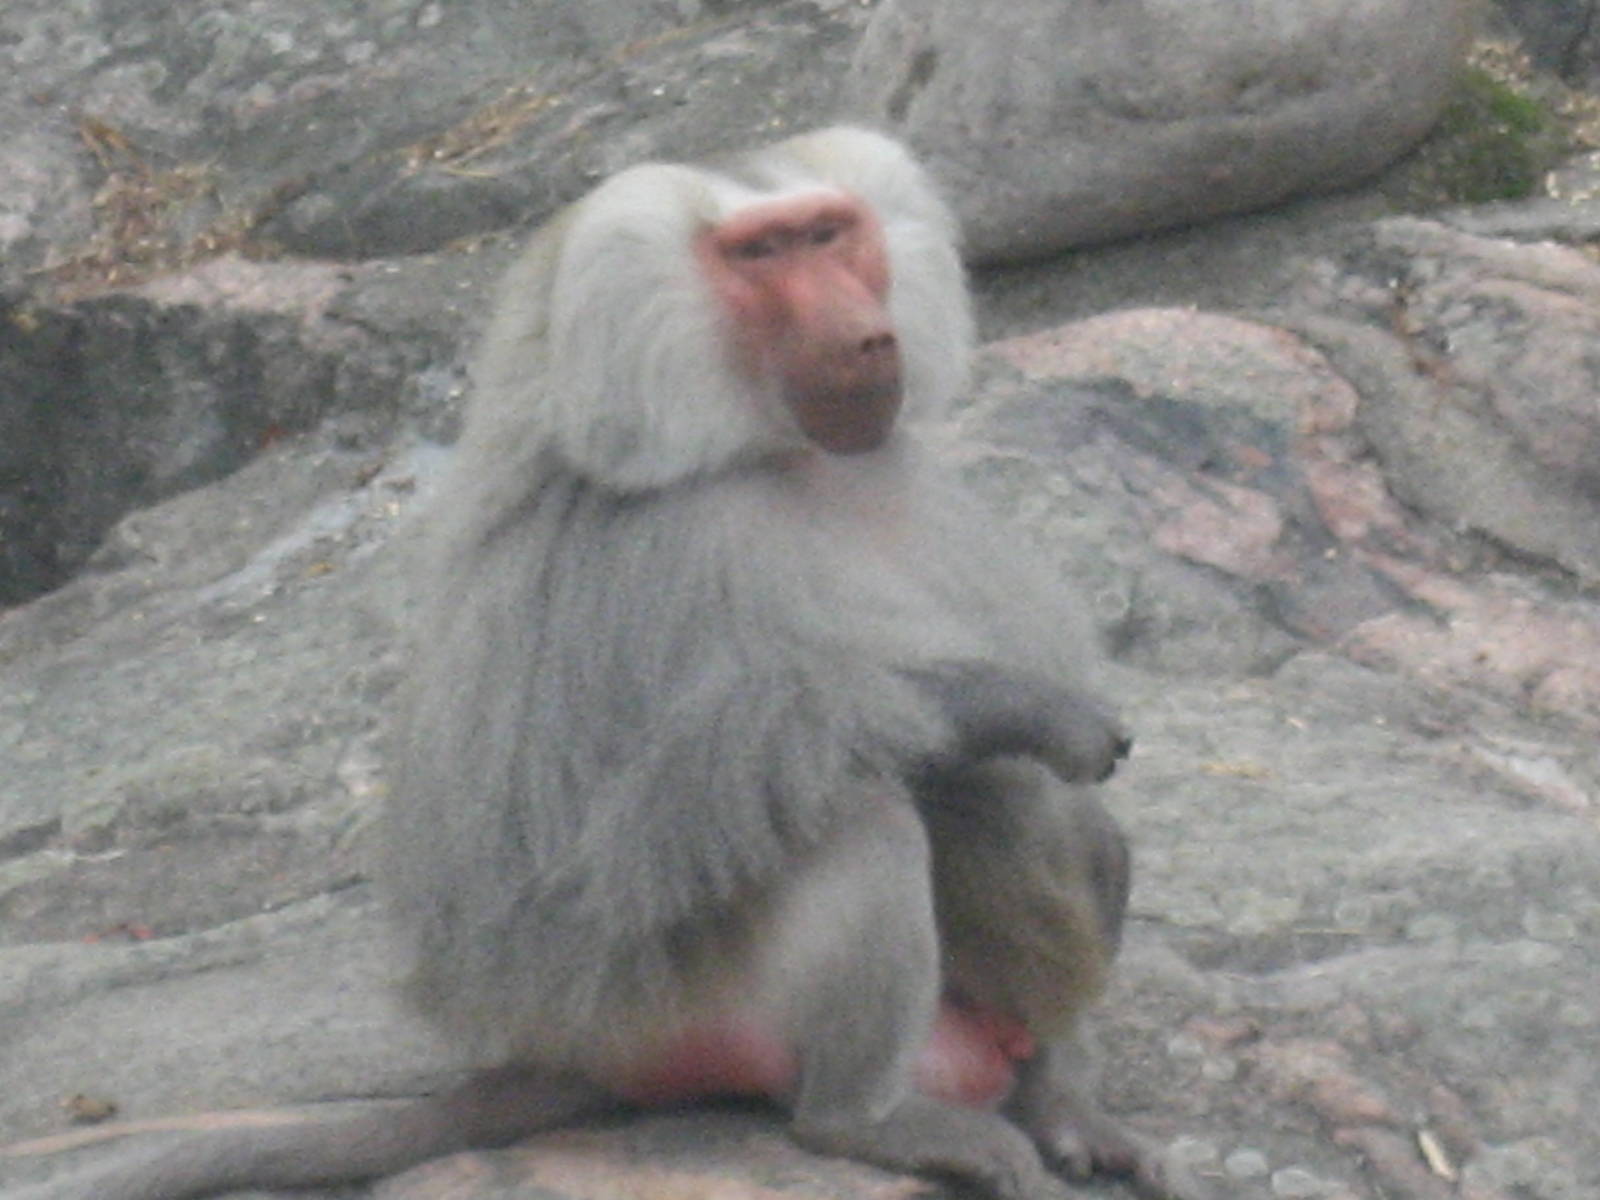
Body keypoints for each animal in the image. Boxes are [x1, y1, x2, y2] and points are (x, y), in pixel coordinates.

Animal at [1, 126, 1203, 1200]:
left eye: (830, 233)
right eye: (761, 256)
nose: (864, 338)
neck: (784, 454)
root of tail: (578, 1054)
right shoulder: (651, 552)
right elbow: (665, 804)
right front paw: (1030, 709)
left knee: (1063, 835)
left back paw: (1059, 1103)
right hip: (673, 1007)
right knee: (848, 813)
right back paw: (870, 1122)